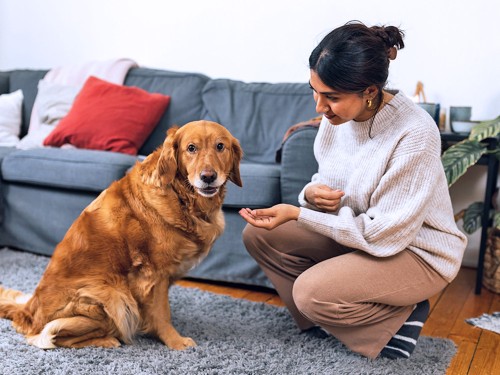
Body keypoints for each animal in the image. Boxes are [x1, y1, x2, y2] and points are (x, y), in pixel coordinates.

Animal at [0, 121, 242, 352]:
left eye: (220, 146)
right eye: (191, 148)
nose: (208, 177)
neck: (180, 196)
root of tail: (27, 311)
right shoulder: (154, 274)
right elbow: (162, 314)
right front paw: (175, 341)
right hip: (114, 295)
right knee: (48, 337)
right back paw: (106, 340)